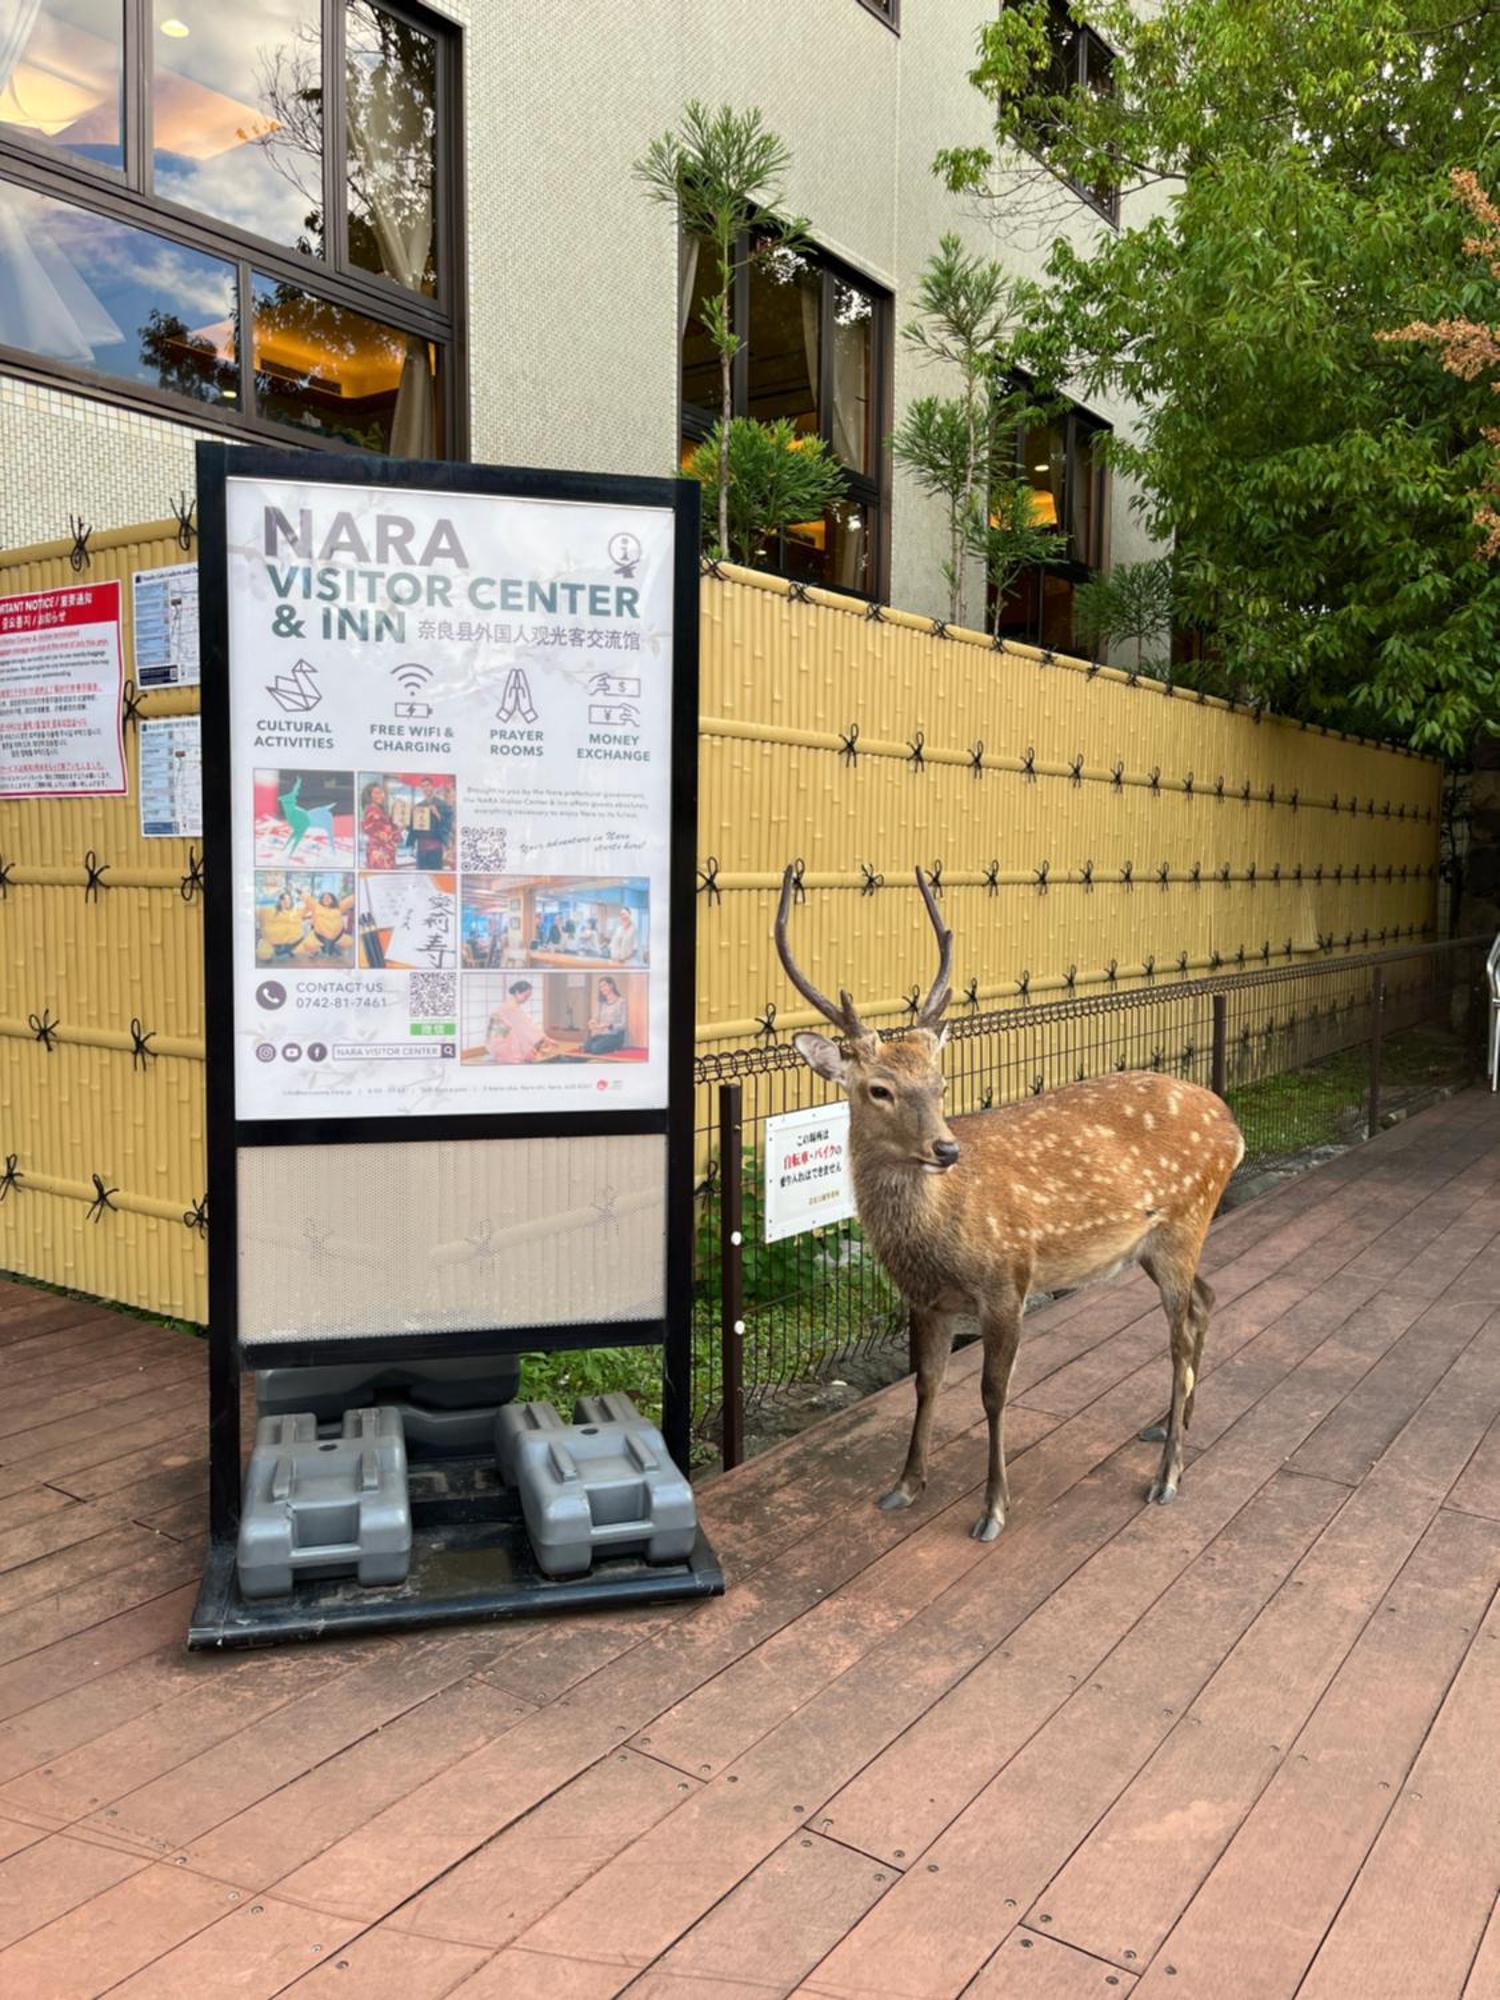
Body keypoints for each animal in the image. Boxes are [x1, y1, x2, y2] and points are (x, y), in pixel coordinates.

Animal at [776, 868, 1248, 1536]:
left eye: (941, 1084)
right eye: (879, 1089)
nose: (946, 1148)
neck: (934, 1237)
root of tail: (1234, 1128)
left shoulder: (1006, 1279)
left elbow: (992, 1393)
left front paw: (994, 1508)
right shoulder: (925, 1297)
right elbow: (926, 1383)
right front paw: (905, 1485)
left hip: (1187, 1216)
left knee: (1180, 1331)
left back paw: (1168, 1477)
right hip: (1158, 1241)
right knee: (1205, 1301)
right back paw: (1168, 1423)